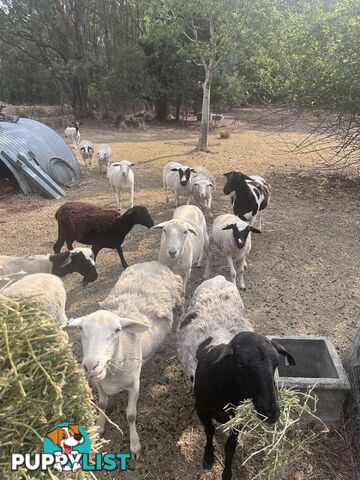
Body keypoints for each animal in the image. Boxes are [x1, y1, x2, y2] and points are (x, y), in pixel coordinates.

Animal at [63, 260, 183, 460]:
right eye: (80, 329)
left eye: (117, 330)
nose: (90, 366)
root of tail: (152, 262)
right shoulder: (98, 384)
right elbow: (102, 404)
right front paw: (99, 426)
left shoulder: (134, 386)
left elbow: (131, 415)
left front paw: (135, 445)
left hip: (180, 299)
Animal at [177, 274, 296, 480]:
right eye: (240, 364)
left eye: (276, 364)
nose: (271, 412)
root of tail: (218, 278)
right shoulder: (201, 409)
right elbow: (209, 432)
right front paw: (208, 457)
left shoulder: (238, 417)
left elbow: (230, 447)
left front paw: (227, 473)